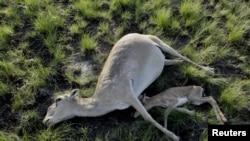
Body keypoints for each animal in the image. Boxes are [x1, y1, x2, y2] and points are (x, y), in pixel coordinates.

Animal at [43, 33, 215, 141]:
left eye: (58, 100)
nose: (45, 121)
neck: (103, 100)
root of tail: (136, 35)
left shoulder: (129, 94)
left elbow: (147, 116)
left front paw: (174, 136)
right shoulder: (139, 96)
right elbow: (158, 104)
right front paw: (190, 112)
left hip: (160, 42)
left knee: (183, 56)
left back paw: (210, 70)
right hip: (162, 57)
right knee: (173, 61)